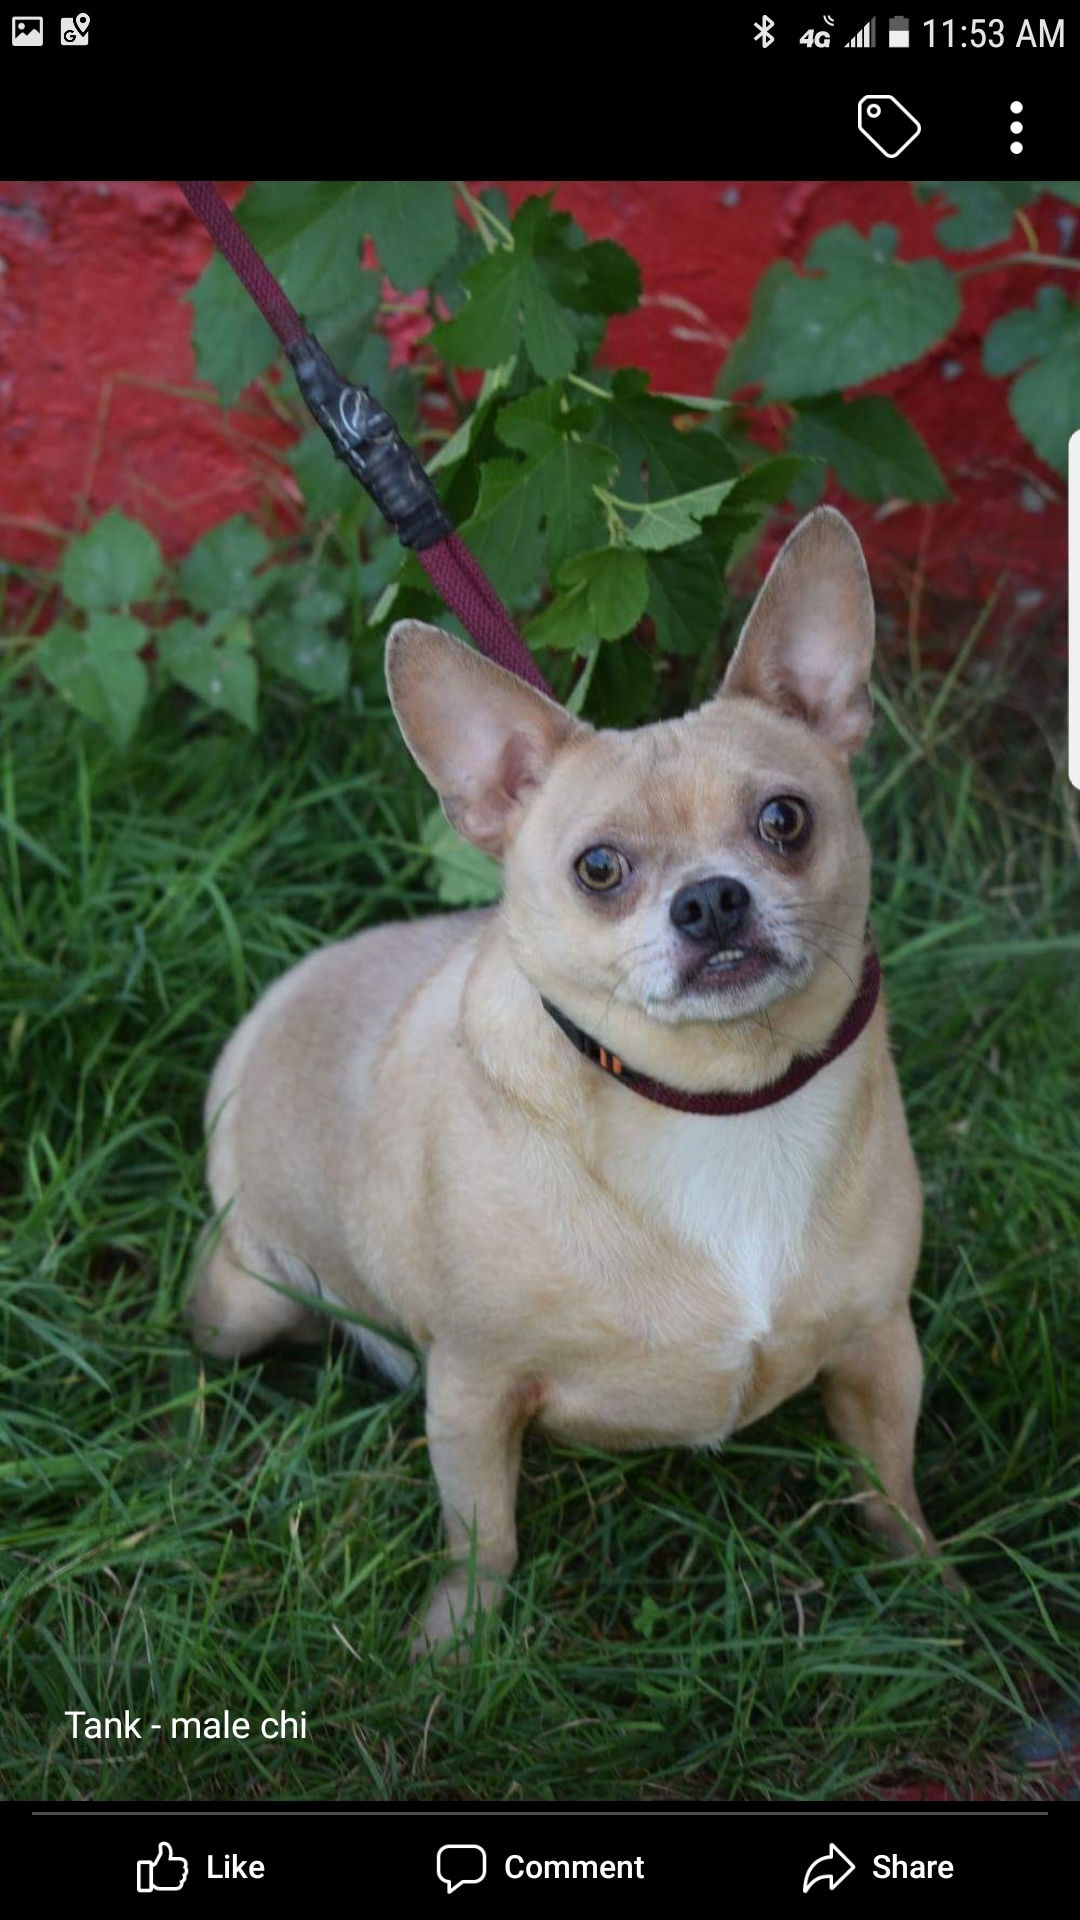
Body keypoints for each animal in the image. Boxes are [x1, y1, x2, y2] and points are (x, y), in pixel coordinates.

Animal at [189, 506, 937, 1651]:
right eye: (599, 869)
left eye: (785, 820)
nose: (711, 901)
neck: (719, 1099)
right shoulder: (471, 1393)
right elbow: (482, 1538)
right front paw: (452, 1651)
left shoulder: (880, 1349)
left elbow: (890, 1481)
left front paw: (941, 1592)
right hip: (242, 1302)